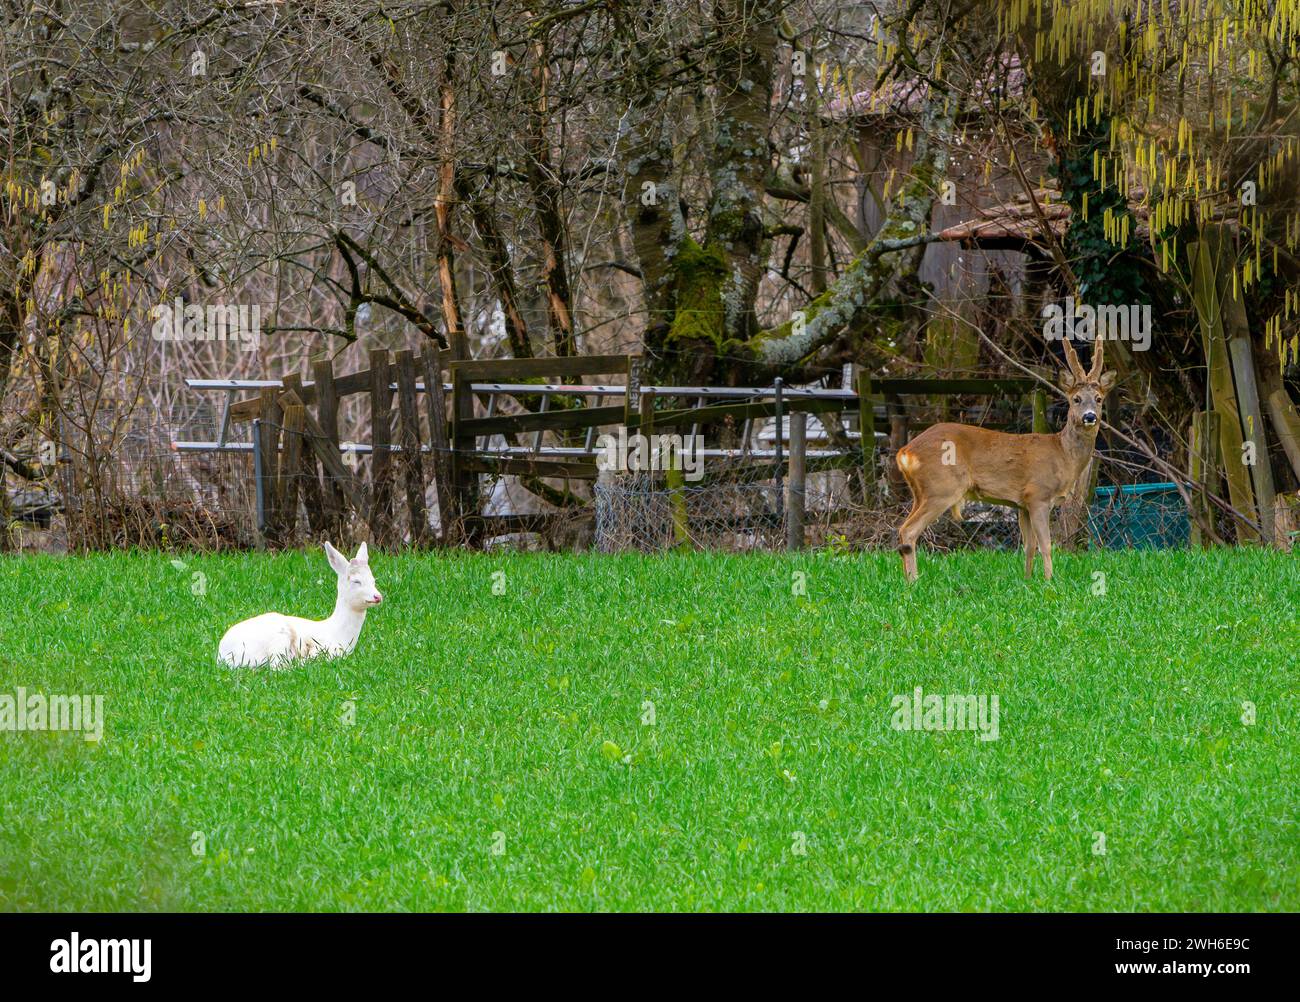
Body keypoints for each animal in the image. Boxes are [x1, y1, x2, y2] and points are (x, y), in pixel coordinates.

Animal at [217, 541, 383, 668]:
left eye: (373, 580)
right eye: (356, 581)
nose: (378, 596)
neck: (338, 634)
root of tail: (222, 657)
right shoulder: (324, 649)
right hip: (277, 638)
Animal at [894, 337, 1115, 582]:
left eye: (1098, 399)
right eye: (1076, 399)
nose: (1090, 416)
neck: (1063, 455)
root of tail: (904, 451)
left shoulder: (1022, 504)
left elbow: (1029, 546)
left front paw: (1028, 580)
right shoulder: (1038, 495)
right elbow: (1046, 545)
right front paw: (1050, 580)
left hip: (920, 492)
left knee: (904, 528)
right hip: (941, 487)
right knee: (908, 530)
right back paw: (913, 581)